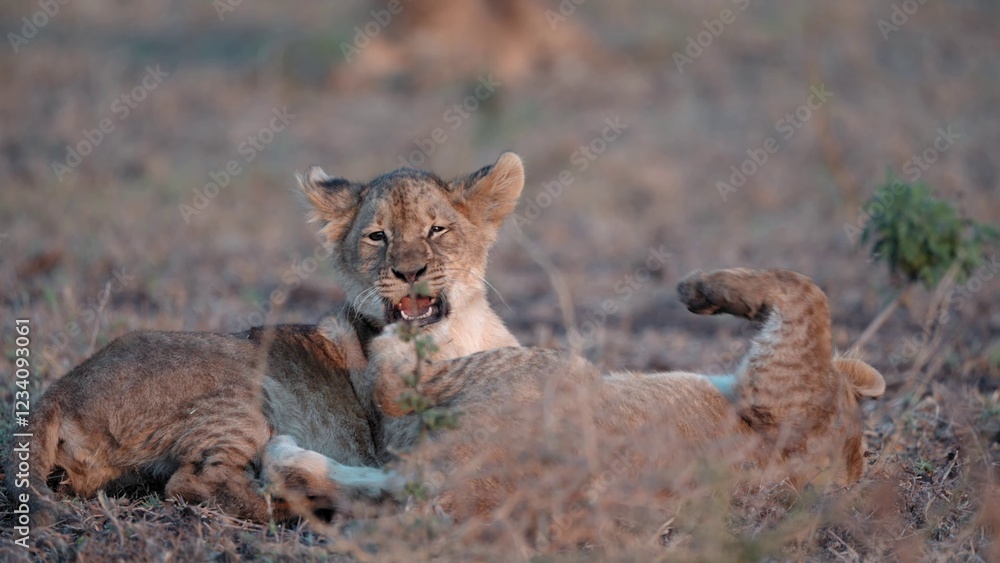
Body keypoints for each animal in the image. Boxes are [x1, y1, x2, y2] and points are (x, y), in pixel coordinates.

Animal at [7, 152, 529, 524]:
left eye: (437, 229)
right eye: (377, 236)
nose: (409, 271)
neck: (456, 334)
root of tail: (58, 391)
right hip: (244, 390)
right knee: (195, 483)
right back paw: (305, 507)